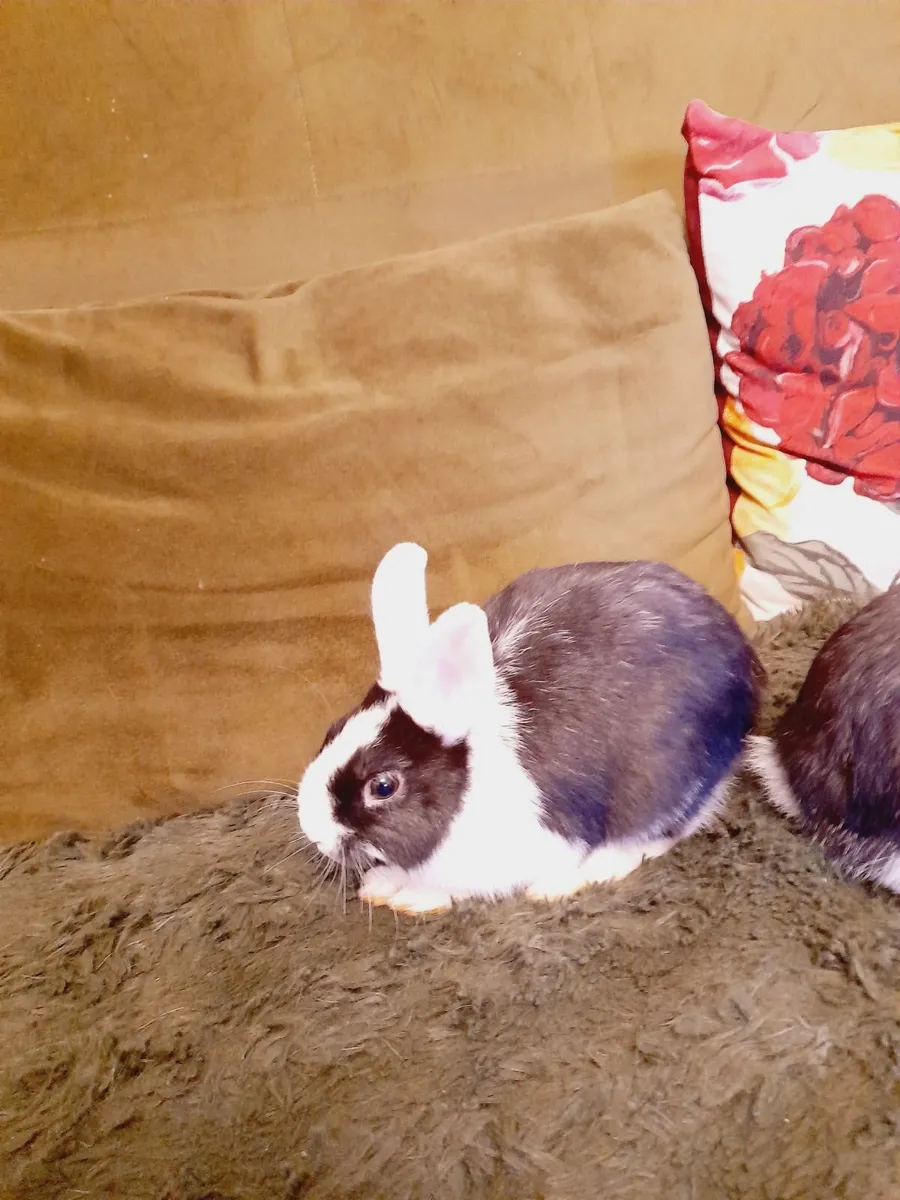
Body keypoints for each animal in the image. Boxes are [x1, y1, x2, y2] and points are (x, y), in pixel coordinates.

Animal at [297, 542, 765, 914]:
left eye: (383, 787)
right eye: (331, 730)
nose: (313, 832)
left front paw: (412, 897)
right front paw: (381, 884)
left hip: (660, 783)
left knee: (660, 834)